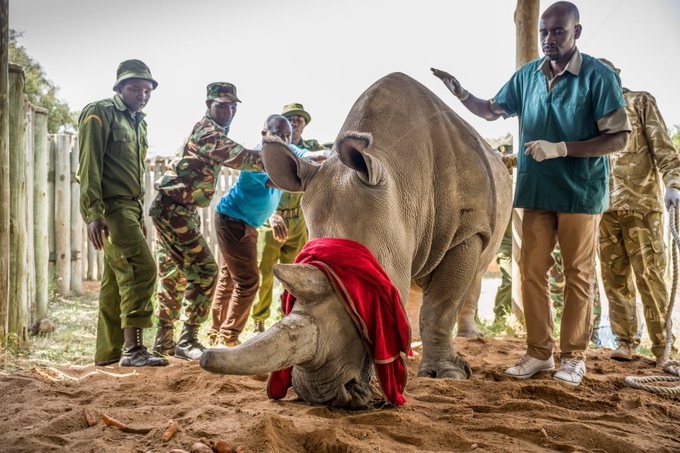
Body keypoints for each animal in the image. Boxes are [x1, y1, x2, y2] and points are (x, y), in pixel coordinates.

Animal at [200, 72, 512, 408]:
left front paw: (446, 375)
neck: (402, 179)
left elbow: (441, 307)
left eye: (361, 299)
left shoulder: (468, 230)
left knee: (473, 276)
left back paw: (466, 338)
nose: (320, 395)